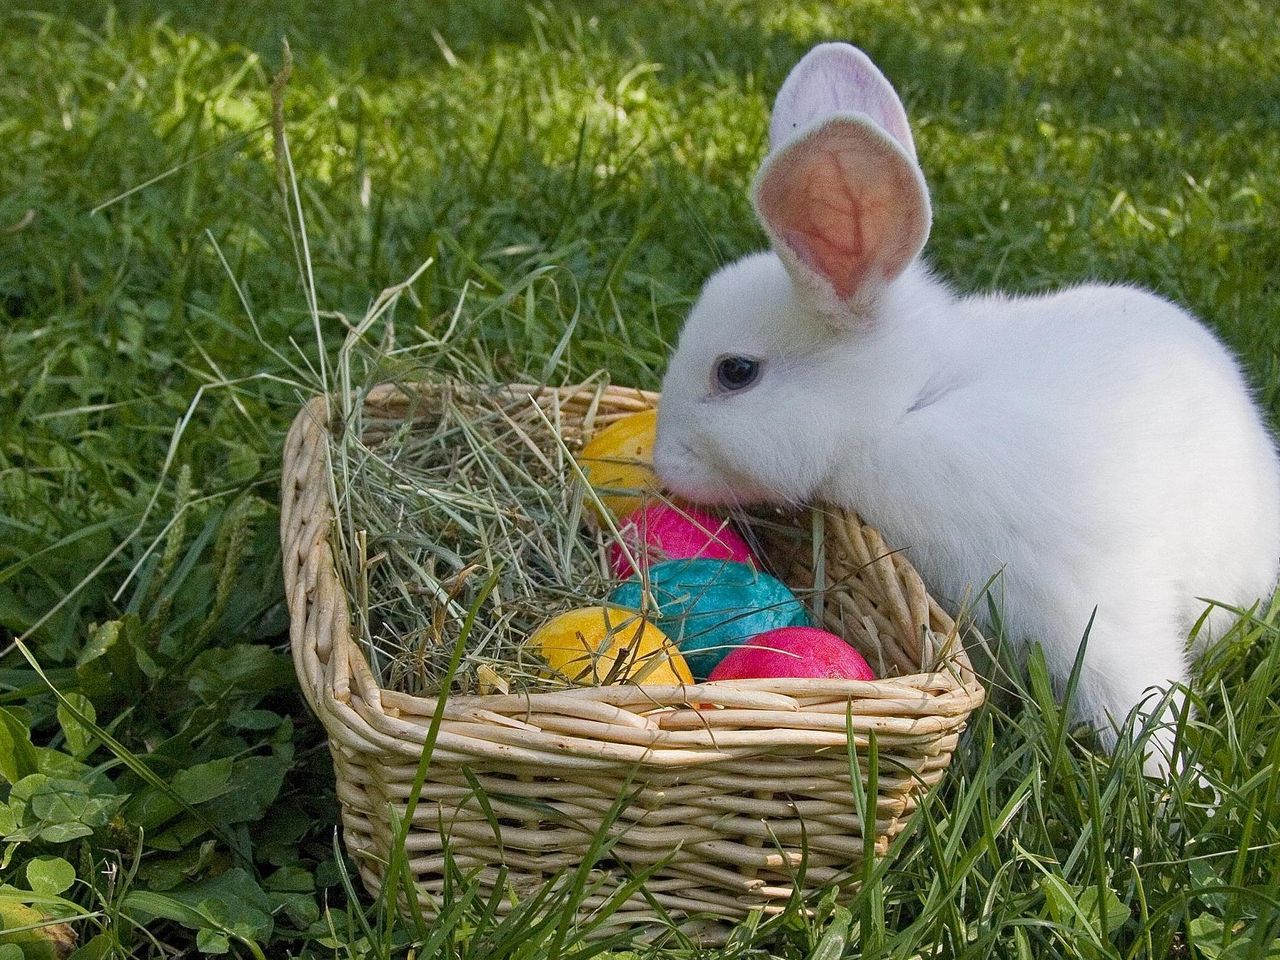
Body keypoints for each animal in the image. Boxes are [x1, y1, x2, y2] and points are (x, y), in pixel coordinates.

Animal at [655, 45, 1274, 783]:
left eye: (736, 372)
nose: (660, 464)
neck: (904, 409)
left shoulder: (1092, 609)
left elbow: (1135, 697)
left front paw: (1176, 785)